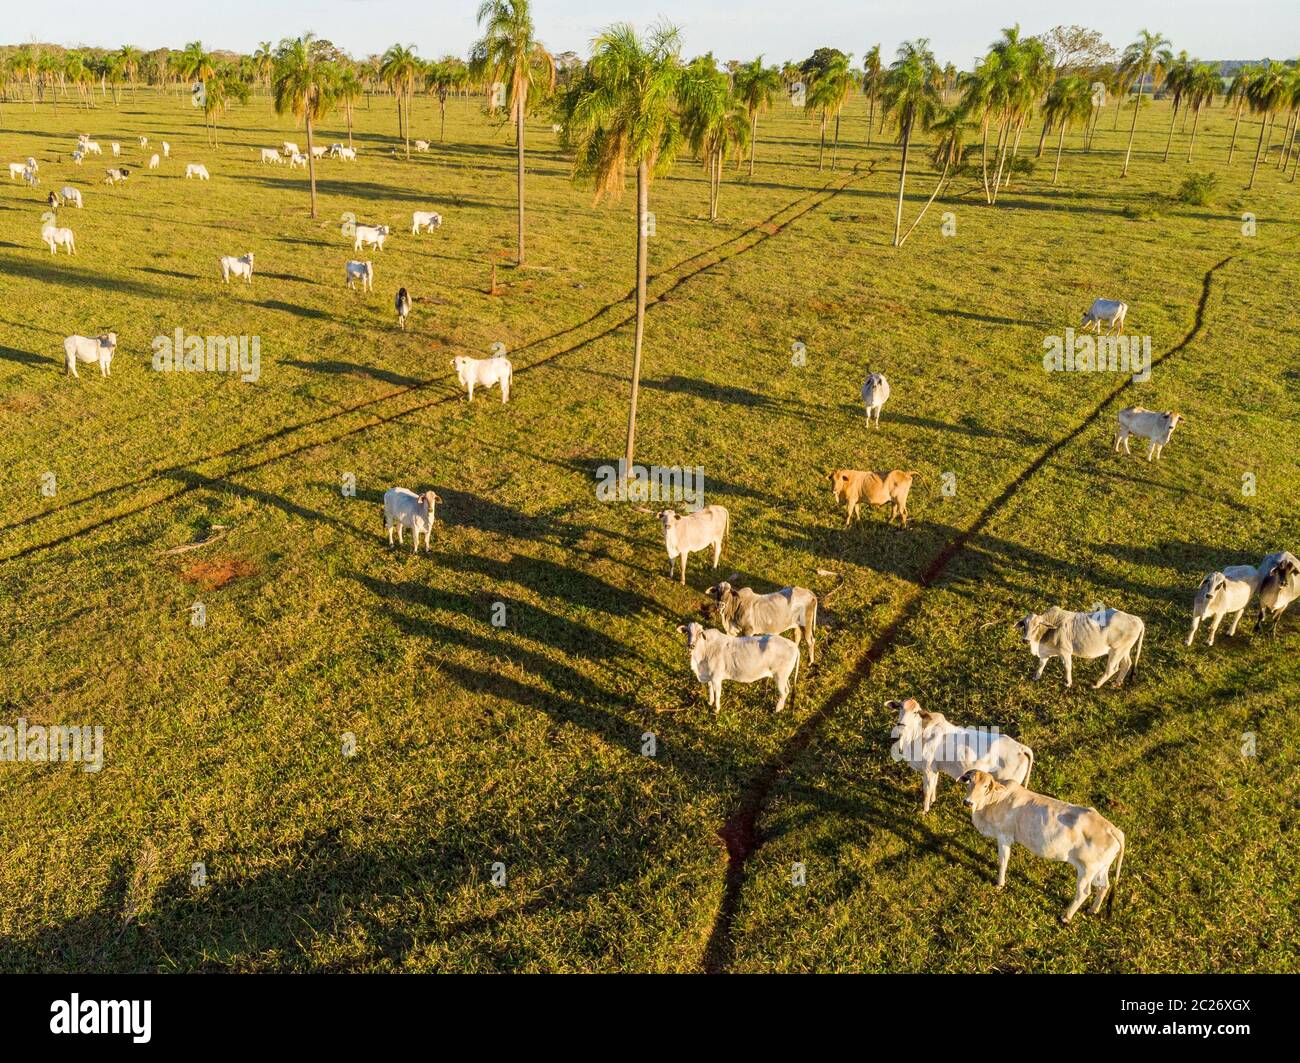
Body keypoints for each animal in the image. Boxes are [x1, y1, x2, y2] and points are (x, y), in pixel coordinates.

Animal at [888, 697, 1034, 813]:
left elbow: (927, 790)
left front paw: (924, 811)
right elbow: (934, 785)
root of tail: (1020, 747)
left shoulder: (928, 768)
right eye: (900, 707)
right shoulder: (935, 768)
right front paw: (933, 801)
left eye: (916, 712)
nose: (901, 724)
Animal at [959, 769, 1126, 924]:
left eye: (985, 786)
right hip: (1101, 868)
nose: (968, 802)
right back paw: (1093, 909)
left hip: (1087, 870)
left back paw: (1066, 917)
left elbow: (1003, 862)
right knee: (1104, 886)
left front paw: (999, 884)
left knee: (1084, 892)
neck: (994, 802)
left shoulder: (1004, 837)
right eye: (970, 781)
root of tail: (1113, 828)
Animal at [1016, 606, 1145, 689]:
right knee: (1127, 664)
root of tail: (1137, 619)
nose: (1025, 640)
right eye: (1024, 625)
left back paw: (1096, 685)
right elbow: (1041, 664)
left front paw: (1068, 683)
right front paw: (1036, 677)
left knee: (1112, 669)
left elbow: (1067, 667)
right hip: (1124, 650)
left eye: (1037, 626)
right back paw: (1117, 683)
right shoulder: (1045, 653)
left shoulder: (1065, 651)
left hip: (1116, 651)